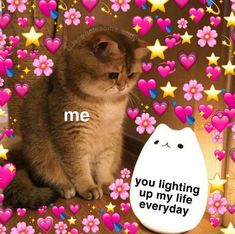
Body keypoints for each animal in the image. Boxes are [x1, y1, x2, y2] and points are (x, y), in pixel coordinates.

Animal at [3, 25, 149, 208]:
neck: (104, 103)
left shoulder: (111, 136)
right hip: (39, 152)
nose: (122, 87)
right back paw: (64, 186)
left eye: (131, 75)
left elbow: (104, 164)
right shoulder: (72, 135)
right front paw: (88, 187)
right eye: (113, 75)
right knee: (45, 175)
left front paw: (107, 183)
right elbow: (78, 166)